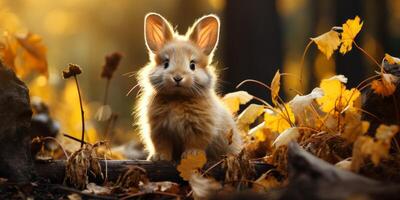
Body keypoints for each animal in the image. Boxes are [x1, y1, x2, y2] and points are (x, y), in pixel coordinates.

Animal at [135, 12, 241, 161]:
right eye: (166, 63)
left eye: (192, 65)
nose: (178, 78)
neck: (177, 98)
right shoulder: (159, 130)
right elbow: (162, 145)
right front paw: (159, 157)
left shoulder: (200, 129)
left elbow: (195, 144)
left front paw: (192, 156)